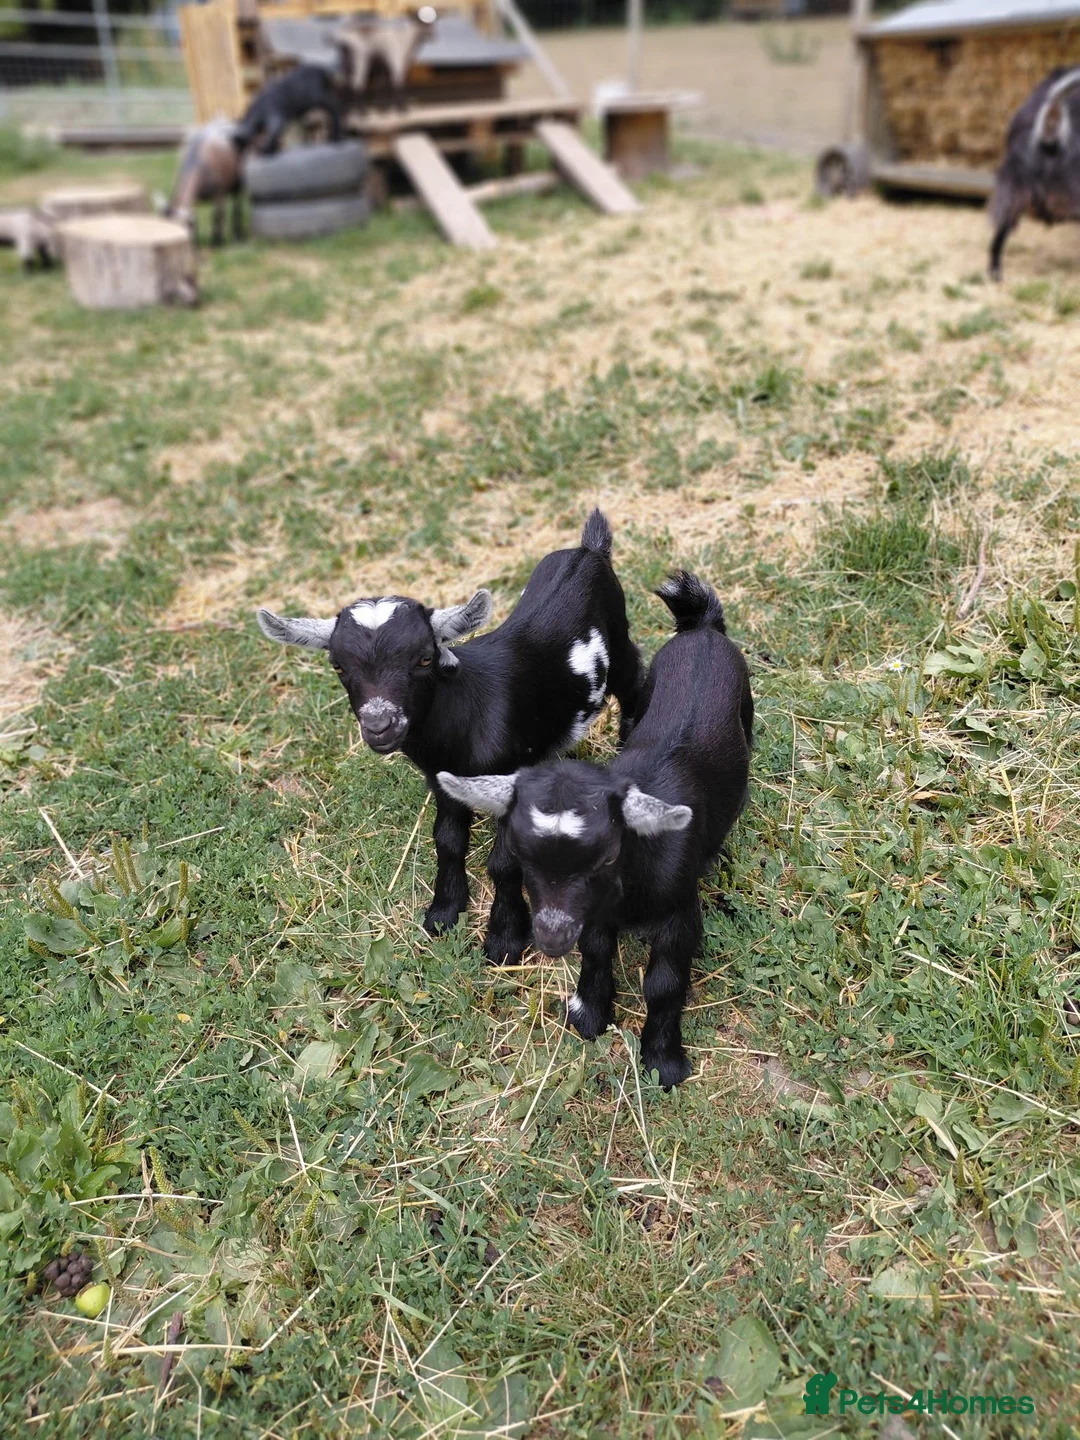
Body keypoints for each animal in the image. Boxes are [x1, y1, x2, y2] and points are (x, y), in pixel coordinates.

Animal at [256, 511, 644, 964]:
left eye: (424, 658)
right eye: (337, 664)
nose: (379, 726)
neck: (468, 711)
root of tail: (589, 550)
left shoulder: (508, 778)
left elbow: (504, 862)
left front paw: (504, 939)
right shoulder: (441, 780)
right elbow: (447, 840)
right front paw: (443, 911)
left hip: (619, 641)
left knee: (635, 680)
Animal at [439, 571, 752, 1088]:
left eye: (606, 855)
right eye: (523, 856)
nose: (549, 939)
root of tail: (703, 629)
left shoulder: (679, 911)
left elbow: (665, 983)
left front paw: (663, 1061)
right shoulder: (596, 915)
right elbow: (596, 949)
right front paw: (589, 1013)